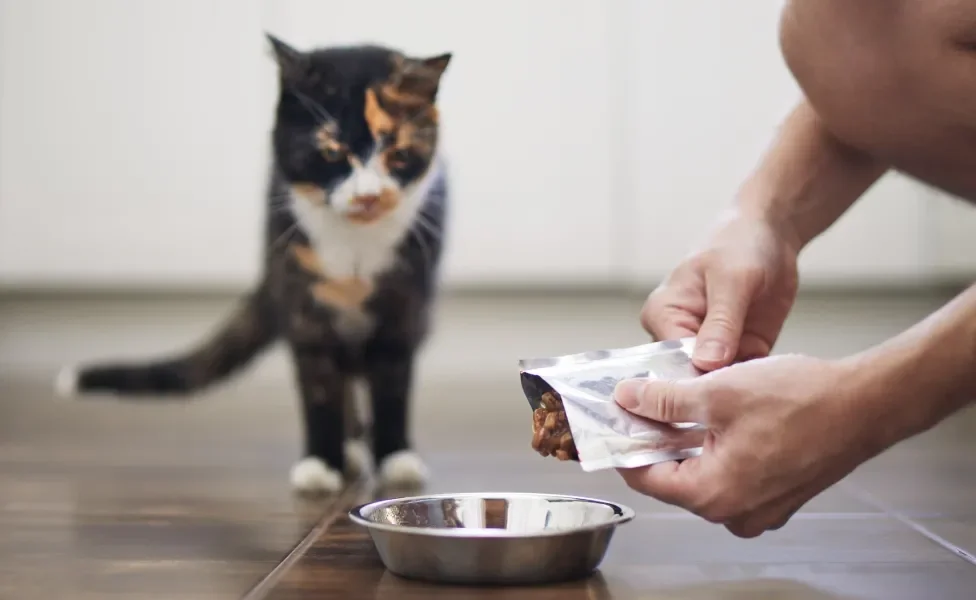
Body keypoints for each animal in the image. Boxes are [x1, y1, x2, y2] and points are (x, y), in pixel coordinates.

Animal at [59, 32, 456, 494]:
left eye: (397, 151)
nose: (368, 195)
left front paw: (396, 458)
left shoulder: (404, 306)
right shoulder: (302, 306)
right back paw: (351, 452)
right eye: (331, 152)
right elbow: (320, 391)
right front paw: (321, 463)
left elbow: (393, 388)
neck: (354, 247)